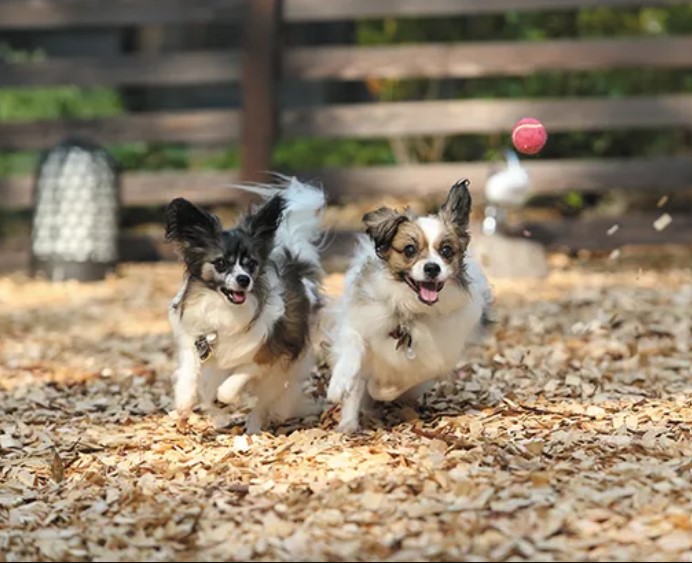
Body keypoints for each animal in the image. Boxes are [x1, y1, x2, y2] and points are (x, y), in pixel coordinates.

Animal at [326, 180, 492, 432]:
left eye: (446, 251)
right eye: (409, 250)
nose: (432, 268)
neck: (409, 311)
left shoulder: (433, 362)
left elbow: (389, 386)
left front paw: (380, 389)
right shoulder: (357, 324)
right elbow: (352, 355)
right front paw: (339, 384)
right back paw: (348, 424)